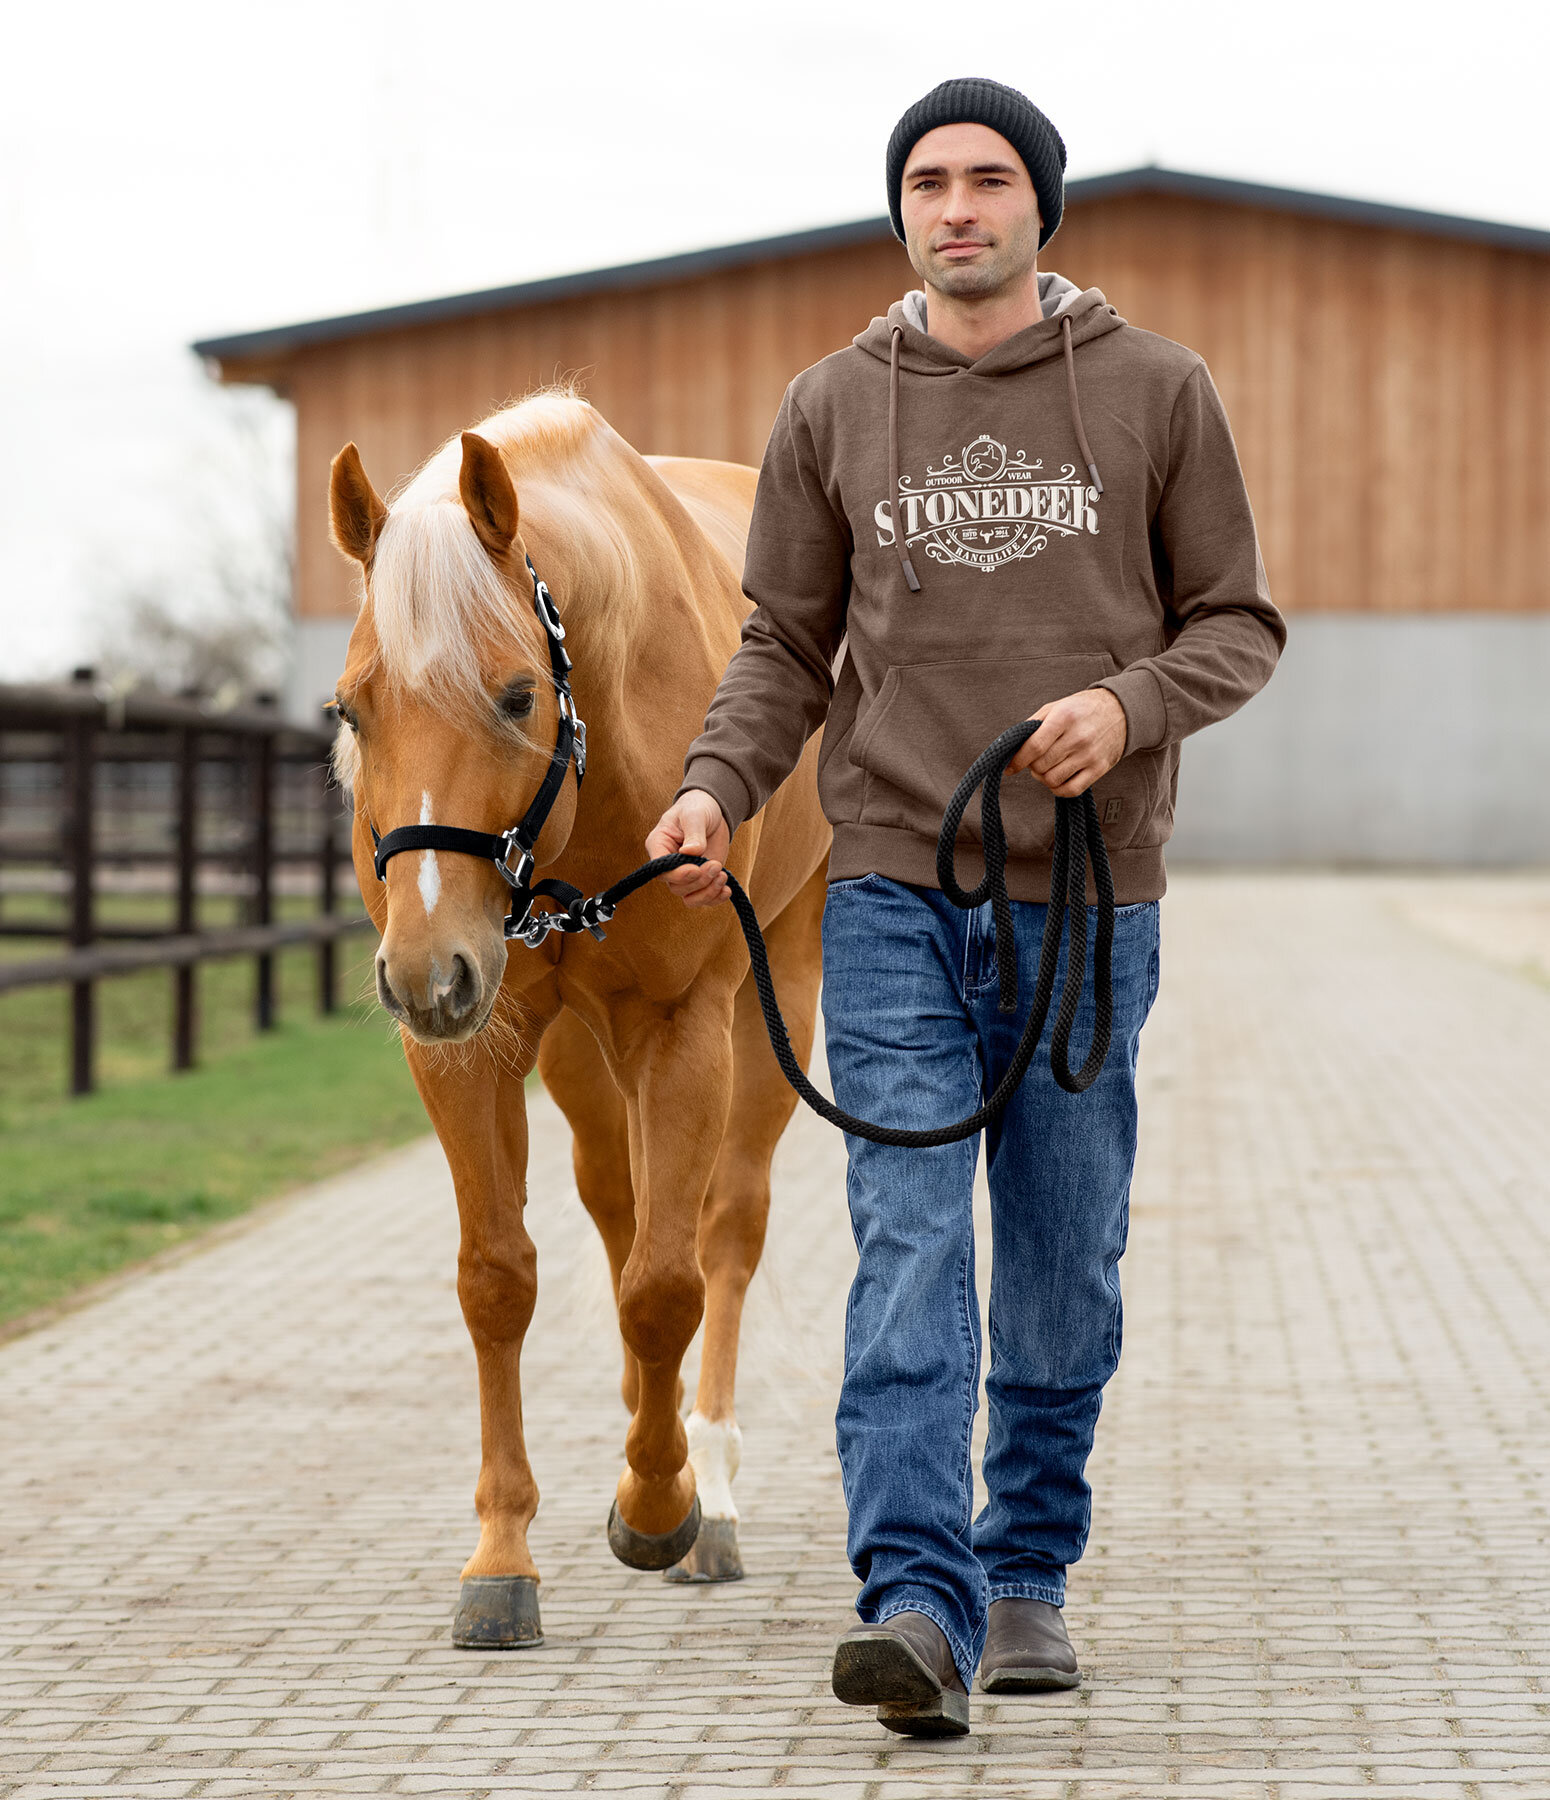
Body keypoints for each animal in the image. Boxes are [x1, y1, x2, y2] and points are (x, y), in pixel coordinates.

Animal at [325, 390, 828, 1648]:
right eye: (350, 709)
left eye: (514, 695)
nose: (424, 969)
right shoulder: (477, 1045)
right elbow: (500, 1279)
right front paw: (503, 1558)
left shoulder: (684, 1022)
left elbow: (667, 1287)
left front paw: (659, 1508)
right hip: (568, 1046)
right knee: (618, 1204)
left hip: (777, 991)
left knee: (722, 1226)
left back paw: (710, 1489)